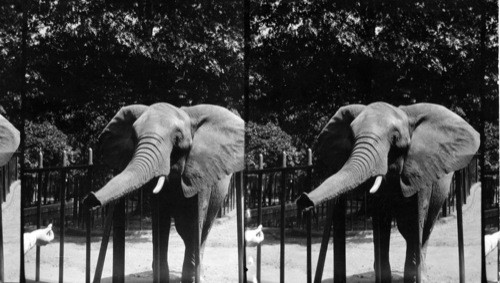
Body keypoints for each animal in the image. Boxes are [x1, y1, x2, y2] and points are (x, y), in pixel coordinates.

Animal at [82, 103, 244, 282]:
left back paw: (199, 274)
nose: (89, 199)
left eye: (177, 139)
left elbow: (195, 221)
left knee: (202, 228)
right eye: (134, 137)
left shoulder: (200, 173)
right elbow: (160, 221)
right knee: (183, 229)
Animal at [296, 102, 480, 283]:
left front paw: (414, 278)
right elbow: (382, 222)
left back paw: (422, 274)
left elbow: (415, 220)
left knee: (424, 227)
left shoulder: (420, 171)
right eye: (352, 136)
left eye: (395, 139)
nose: (303, 200)